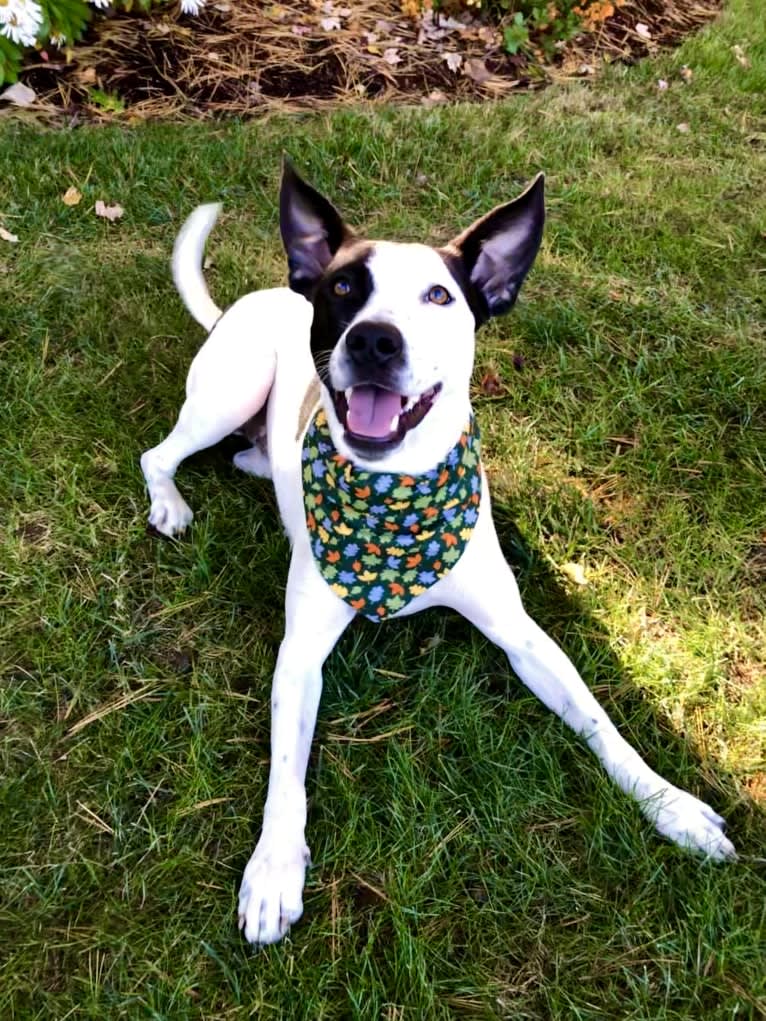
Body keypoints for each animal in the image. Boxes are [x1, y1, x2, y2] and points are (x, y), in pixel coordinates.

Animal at [142, 165, 739, 939]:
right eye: (344, 287)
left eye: (439, 295)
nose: (374, 341)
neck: (398, 499)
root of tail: (252, 299)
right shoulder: (299, 656)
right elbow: (285, 776)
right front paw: (273, 871)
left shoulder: (525, 636)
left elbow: (602, 723)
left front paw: (673, 806)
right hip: (229, 393)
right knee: (160, 455)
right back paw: (169, 501)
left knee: (251, 457)